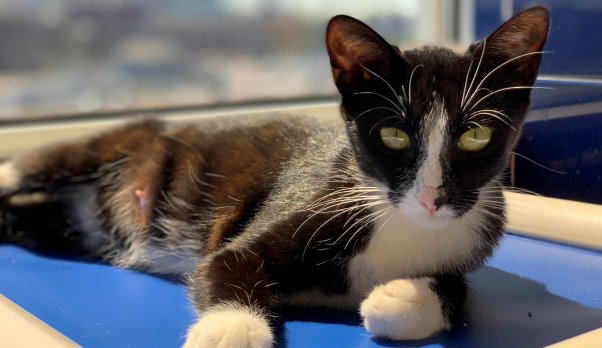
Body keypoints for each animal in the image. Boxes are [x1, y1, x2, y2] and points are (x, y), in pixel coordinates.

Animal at [0, 6, 548, 348]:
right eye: (393, 134)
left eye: (475, 135)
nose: (433, 196)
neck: (393, 216)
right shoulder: (301, 203)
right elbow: (227, 261)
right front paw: (231, 329)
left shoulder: (468, 243)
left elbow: (459, 295)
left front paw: (401, 297)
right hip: (102, 147)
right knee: (38, 162)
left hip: (72, 225)